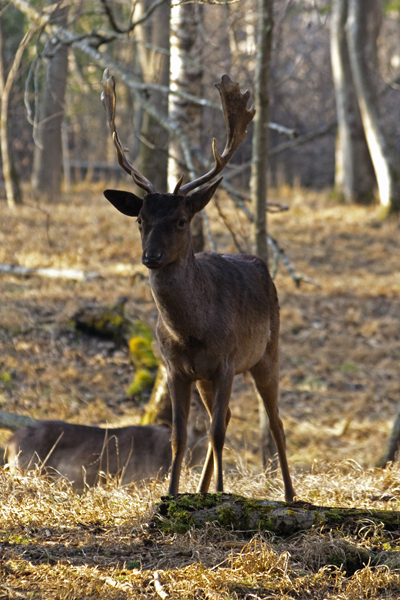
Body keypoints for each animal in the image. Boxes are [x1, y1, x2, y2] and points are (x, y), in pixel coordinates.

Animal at [101, 69, 296, 502]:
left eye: (180, 221)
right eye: (140, 220)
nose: (151, 256)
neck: (191, 332)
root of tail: (261, 265)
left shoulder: (225, 362)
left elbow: (219, 433)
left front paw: (222, 493)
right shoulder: (176, 368)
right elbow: (179, 436)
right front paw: (173, 493)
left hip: (267, 351)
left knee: (274, 421)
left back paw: (290, 495)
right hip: (210, 377)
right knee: (224, 417)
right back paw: (203, 488)